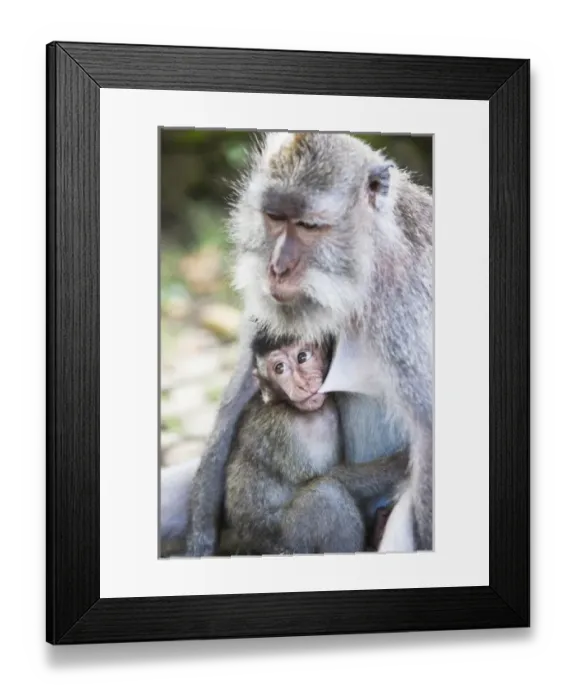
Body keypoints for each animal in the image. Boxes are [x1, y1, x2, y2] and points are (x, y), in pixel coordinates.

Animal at [220, 330, 409, 555]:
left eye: (303, 357)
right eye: (279, 368)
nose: (301, 384)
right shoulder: (290, 432)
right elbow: (328, 476)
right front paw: (401, 462)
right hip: (286, 540)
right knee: (326, 494)